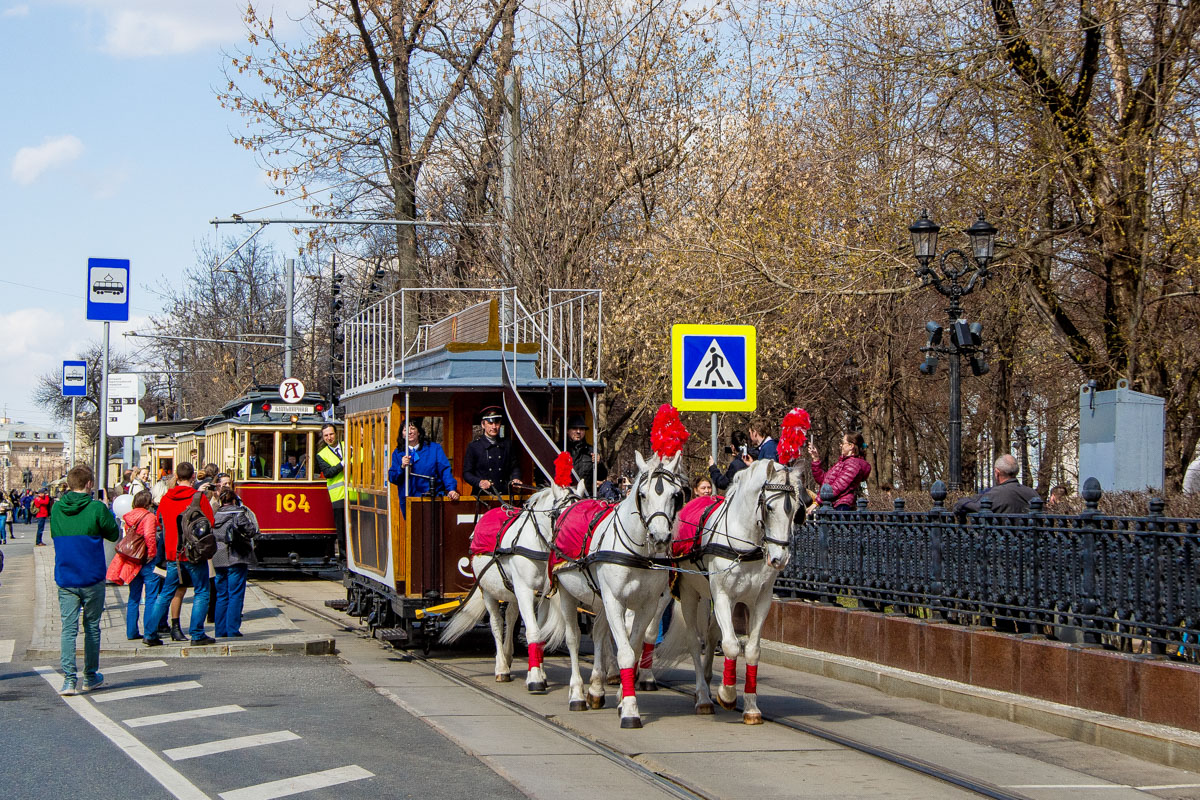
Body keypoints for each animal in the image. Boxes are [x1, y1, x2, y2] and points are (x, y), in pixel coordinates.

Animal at [441, 482, 580, 695]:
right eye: (561, 514)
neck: (537, 545)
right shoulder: (524, 590)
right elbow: (533, 632)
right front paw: (535, 679)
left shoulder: (542, 596)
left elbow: (538, 633)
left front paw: (538, 672)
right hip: (488, 591)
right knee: (497, 623)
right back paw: (501, 668)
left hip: (512, 593)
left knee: (511, 617)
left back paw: (507, 655)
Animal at [547, 453, 686, 729]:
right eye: (642, 494)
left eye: (676, 495)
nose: (660, 537)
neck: (637, 553)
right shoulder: (614, 601)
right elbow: (623, 652)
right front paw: (631, 710)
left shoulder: (647, 605)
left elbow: (633, 648)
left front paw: (623, 697)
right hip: (568, 594)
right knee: (574, 638)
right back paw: (577, 694)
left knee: (599, 634)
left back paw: (596, 689)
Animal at [662, 455, 801, 724]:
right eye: (770, 508)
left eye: (795, 509)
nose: (780, 559)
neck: (743, 542)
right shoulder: (723, 597)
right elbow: (731, 645)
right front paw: (727, 694)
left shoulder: (759, 601)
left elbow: (752, 650)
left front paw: (751, 707)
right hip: (691, 595)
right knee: (695, 641)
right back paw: (703, 698)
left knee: (711, 634)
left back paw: (706, 686)